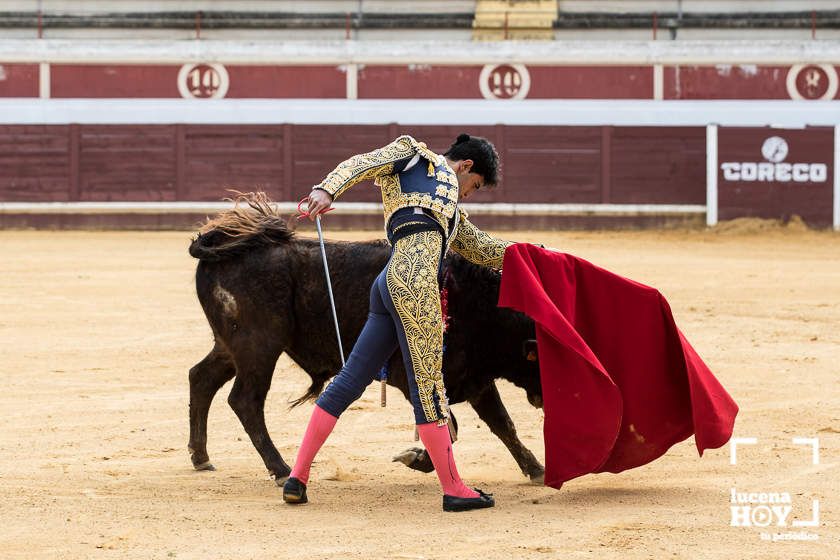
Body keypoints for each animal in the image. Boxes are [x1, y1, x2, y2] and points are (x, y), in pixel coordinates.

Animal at [187, 196, 548, 486]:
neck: (477, 304)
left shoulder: (476, 379)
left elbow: (503, 425)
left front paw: (536, 469)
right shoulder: (417, 377)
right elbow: (451, 426)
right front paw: (415, 458)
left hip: (231, 346)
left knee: (201, 378)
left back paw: (201, 457)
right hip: (259, 346)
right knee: (246, 401)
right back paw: (279, 469)